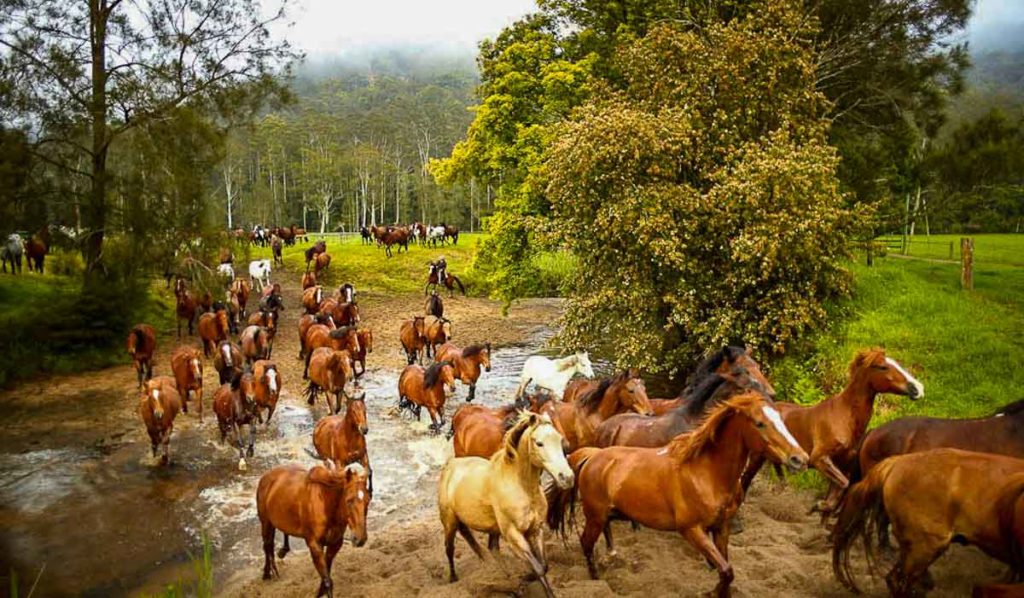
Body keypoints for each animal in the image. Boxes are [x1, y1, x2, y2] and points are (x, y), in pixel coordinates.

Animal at [256, 462, 372, 598]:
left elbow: (326, 576)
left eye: (368, 500)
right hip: (266, 522)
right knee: (267, 545)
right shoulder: (315, 545)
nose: (360, 539)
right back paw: (267, 574)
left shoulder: (335, 544)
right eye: (349, 500)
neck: (326, 505)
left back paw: (281, 554)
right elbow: (328, 581)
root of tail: (266, 476)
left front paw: (320, 592)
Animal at [436, 413, 573, 593]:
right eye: (539, 443)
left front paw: (526, 579)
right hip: (449, 522)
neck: (522, 487)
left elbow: (544, 565)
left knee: (491, 549)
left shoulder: (536, 529)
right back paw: (453, 578)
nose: (567, 477)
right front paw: (529, 580)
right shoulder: (513, 534)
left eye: (559, 439)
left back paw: (504, 577)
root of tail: (451, 465)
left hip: (491, 528)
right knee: (449, 548)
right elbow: (538, 568)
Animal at [552, 393, 806, 598]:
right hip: (594, 515)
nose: (799, 458)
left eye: (782, 420)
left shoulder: (721, 527)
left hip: (608, 513)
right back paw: (597, 579)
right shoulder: (691, 529)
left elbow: (726, 569)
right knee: (586, 542)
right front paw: (710, 591)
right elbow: (726, 570)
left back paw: (612, 555)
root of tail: (592, 456)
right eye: (759, 423)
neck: (706, 473)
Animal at [737, 348, 921, 516]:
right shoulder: (820, 458)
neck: (844, 416)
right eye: (883, 367)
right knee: (745, 479)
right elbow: (844, 484)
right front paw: (818, 506)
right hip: (756, 457)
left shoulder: (843, 464)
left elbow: (840, 488)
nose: (917, 388)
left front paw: (820, 507)